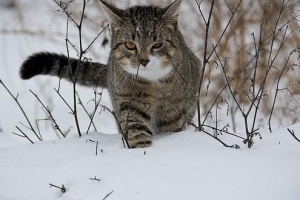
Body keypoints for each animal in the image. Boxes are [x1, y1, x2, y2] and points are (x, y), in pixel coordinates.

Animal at [19, 0, 200, 148]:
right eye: (130, 45)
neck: (153, 82)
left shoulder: (174, 109)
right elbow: (136, 127)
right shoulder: (128, 99)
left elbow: (171, 127)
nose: (143, 61)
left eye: (157, 44)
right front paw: (141, 150)